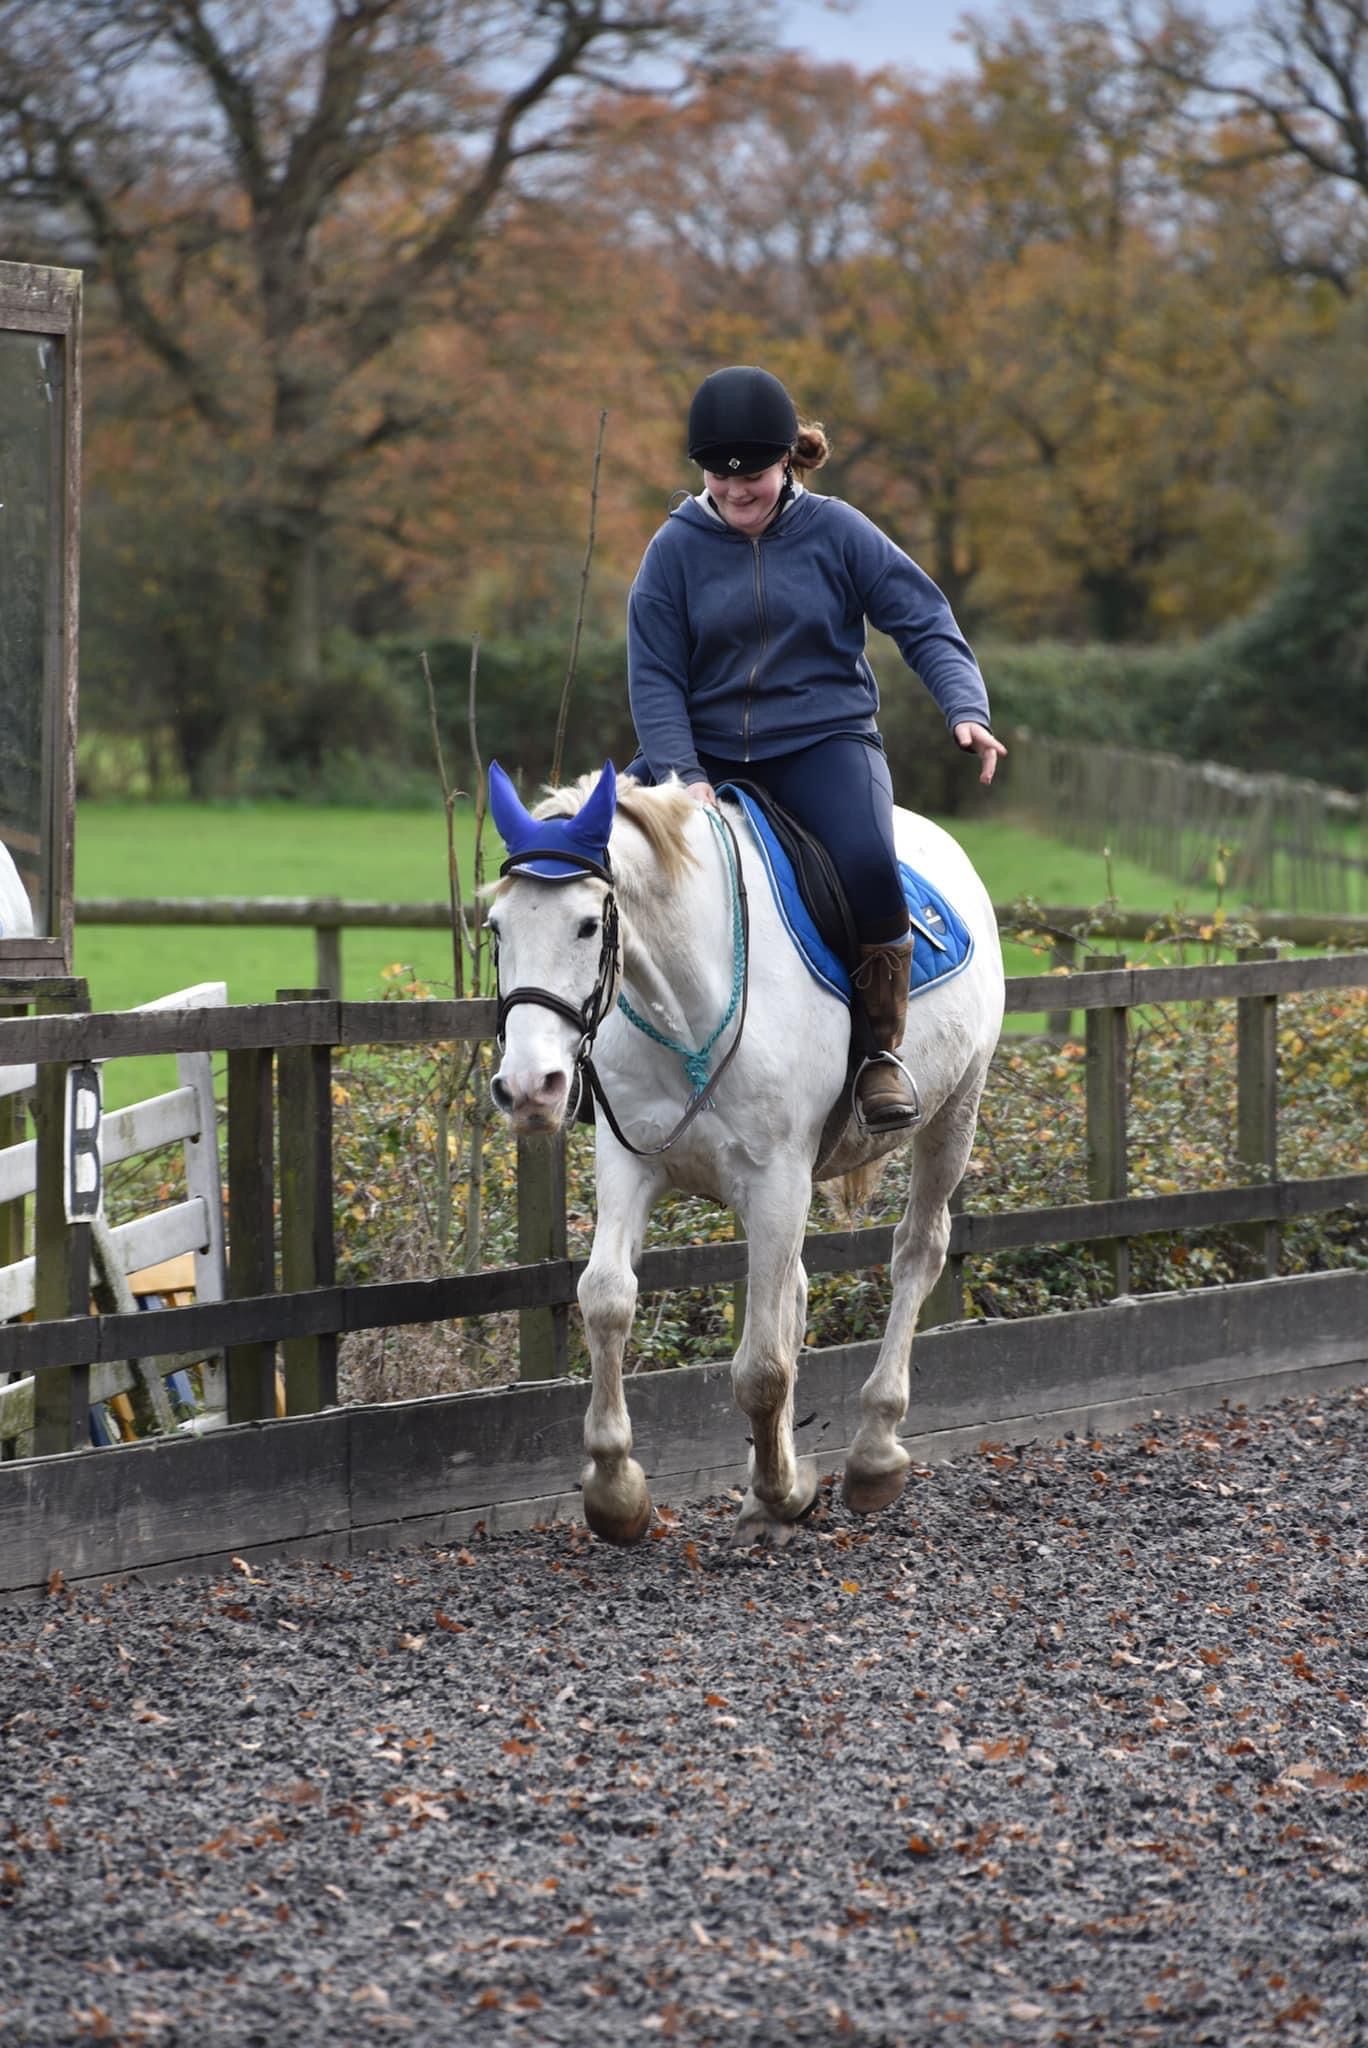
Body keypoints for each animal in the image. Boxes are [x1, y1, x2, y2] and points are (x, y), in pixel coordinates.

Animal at [486, 761, 1004, 1547]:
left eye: (586, 923)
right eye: (496, 927)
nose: (527, 1087)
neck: (684, 1001)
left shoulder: (777, 1178)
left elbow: (760, 1366)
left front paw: (782, 1490)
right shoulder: (632, 1164)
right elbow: (606, 1298)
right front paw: (617, 1491)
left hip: (954, 1116)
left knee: (918, 1251)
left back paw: (873, 1452)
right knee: (794, 1291)